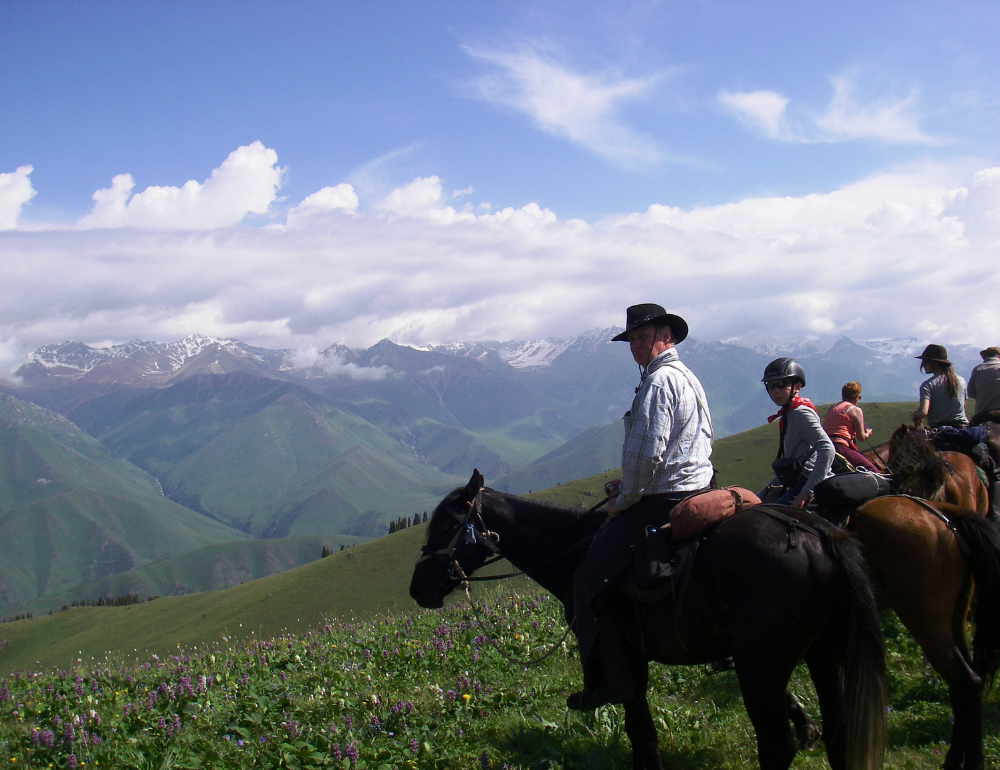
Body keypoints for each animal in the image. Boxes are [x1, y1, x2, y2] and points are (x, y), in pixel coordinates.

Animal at [410, 468, 888, 768]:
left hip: (761, 666)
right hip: (824, 653)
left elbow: (641, 732)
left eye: (448, 523)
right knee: (840, 735)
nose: (418, 589)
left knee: (775, 748)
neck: (574, 549)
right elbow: (639, 732)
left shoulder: (622, 660)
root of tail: (818, 533)